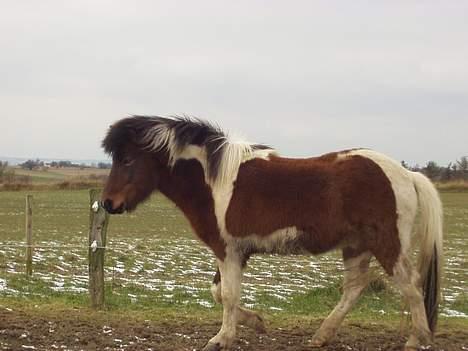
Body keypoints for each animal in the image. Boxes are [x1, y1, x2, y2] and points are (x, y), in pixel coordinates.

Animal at [101, 116, 442, 351]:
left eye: (127, 159)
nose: (108, 203)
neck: (215, 183)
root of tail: (407, 174)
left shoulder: (227, 251)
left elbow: (228, 294)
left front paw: (221, 339)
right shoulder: (234, 252)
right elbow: (219, 292)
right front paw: (256, 322)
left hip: (387, 244)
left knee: (411, 285)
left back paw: (417, 339)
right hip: (356, 246)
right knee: (355, 288)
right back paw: (321, 336)